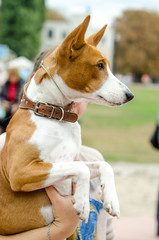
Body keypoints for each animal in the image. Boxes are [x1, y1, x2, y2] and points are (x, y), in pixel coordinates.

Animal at [0, 15, 134, 235]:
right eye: (100, 65)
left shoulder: (68, 160)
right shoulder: (20, 172)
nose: (130, 95)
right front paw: (81, 202)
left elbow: (103, 165)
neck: (55, 117)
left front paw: (111, 199)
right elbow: (82, 169)